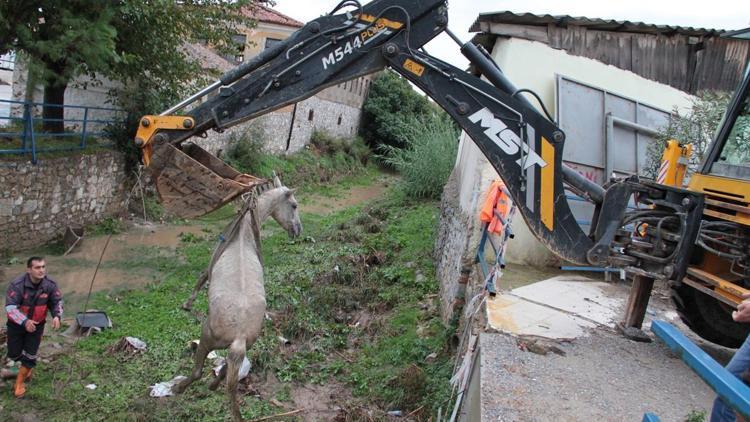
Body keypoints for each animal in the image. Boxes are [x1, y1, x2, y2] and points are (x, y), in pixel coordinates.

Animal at [173, 173, 302, 420]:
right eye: (294, 205)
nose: (298, 230)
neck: (244, 231)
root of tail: (239, 336)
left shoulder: (211, 262)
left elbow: (201, 279)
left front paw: (186, 304)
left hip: (206, 336)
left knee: (198, 372)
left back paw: (179, 387)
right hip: (246, 347)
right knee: (226, 374)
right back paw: (213, 386)